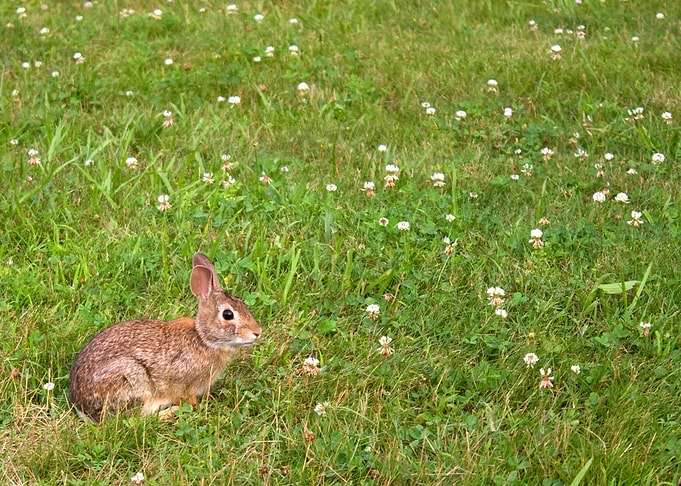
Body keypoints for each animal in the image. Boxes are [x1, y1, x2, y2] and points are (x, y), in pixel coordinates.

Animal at [69, 252, 262, 422]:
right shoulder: (186, 384)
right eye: (228, 314)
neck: (203, 338)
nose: (257, 332)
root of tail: (83, 407)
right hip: (132, 380)